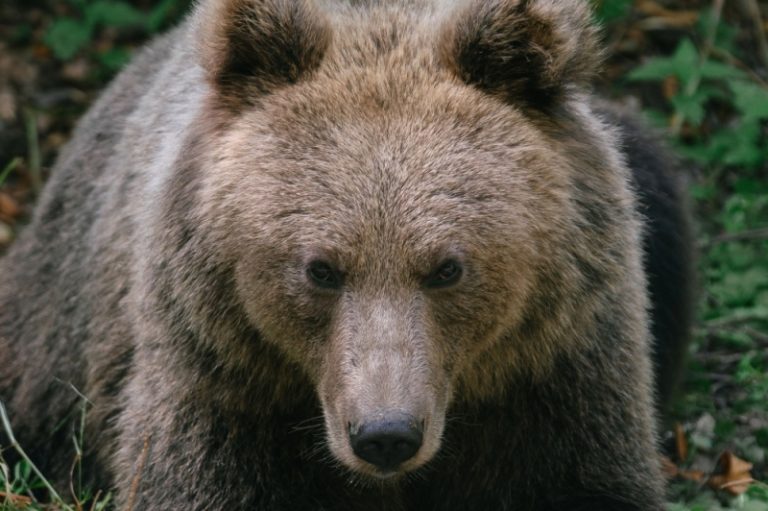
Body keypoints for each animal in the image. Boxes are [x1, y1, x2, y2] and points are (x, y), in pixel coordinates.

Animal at [0, 0, 693, 509]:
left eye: (447, 267)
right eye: (321, 269)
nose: (385, 436)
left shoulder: (555, 369)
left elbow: (581, 479)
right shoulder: (222, 379)